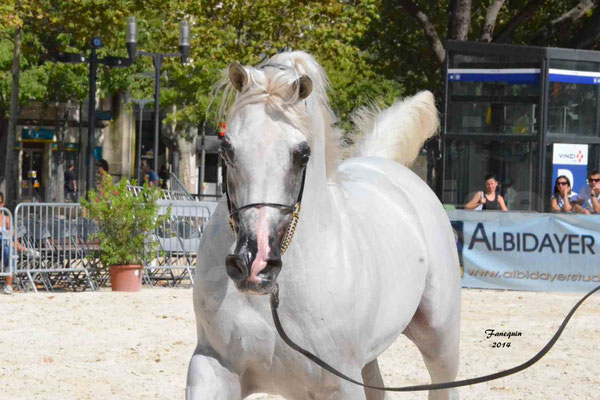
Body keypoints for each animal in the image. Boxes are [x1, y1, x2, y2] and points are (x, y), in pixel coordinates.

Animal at [185, 51, 462, 398]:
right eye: (226, 149)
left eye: (302, 154)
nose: (254, 263)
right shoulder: (213, 366)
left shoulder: (340, 384)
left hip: (441, 343)